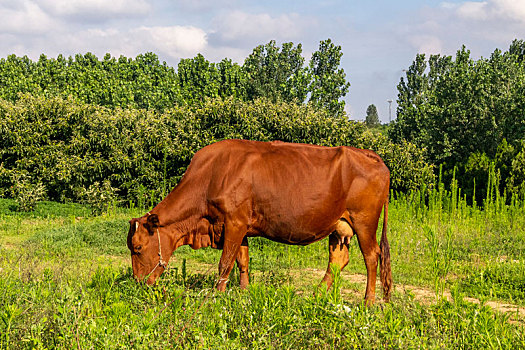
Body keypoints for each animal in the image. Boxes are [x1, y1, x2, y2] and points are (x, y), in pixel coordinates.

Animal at [126, 139, 388, 304]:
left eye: (137, 247)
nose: (138, 283)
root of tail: (369, 155)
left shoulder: (234, 222)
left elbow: (225, 263)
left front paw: (216, 295)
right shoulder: (239, 227)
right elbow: (242, 261)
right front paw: (243, 292)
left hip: (364, 222)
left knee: (372, 257)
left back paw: (368, 302)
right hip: (339, 227)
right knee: (337, 260)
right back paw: (316, 294)